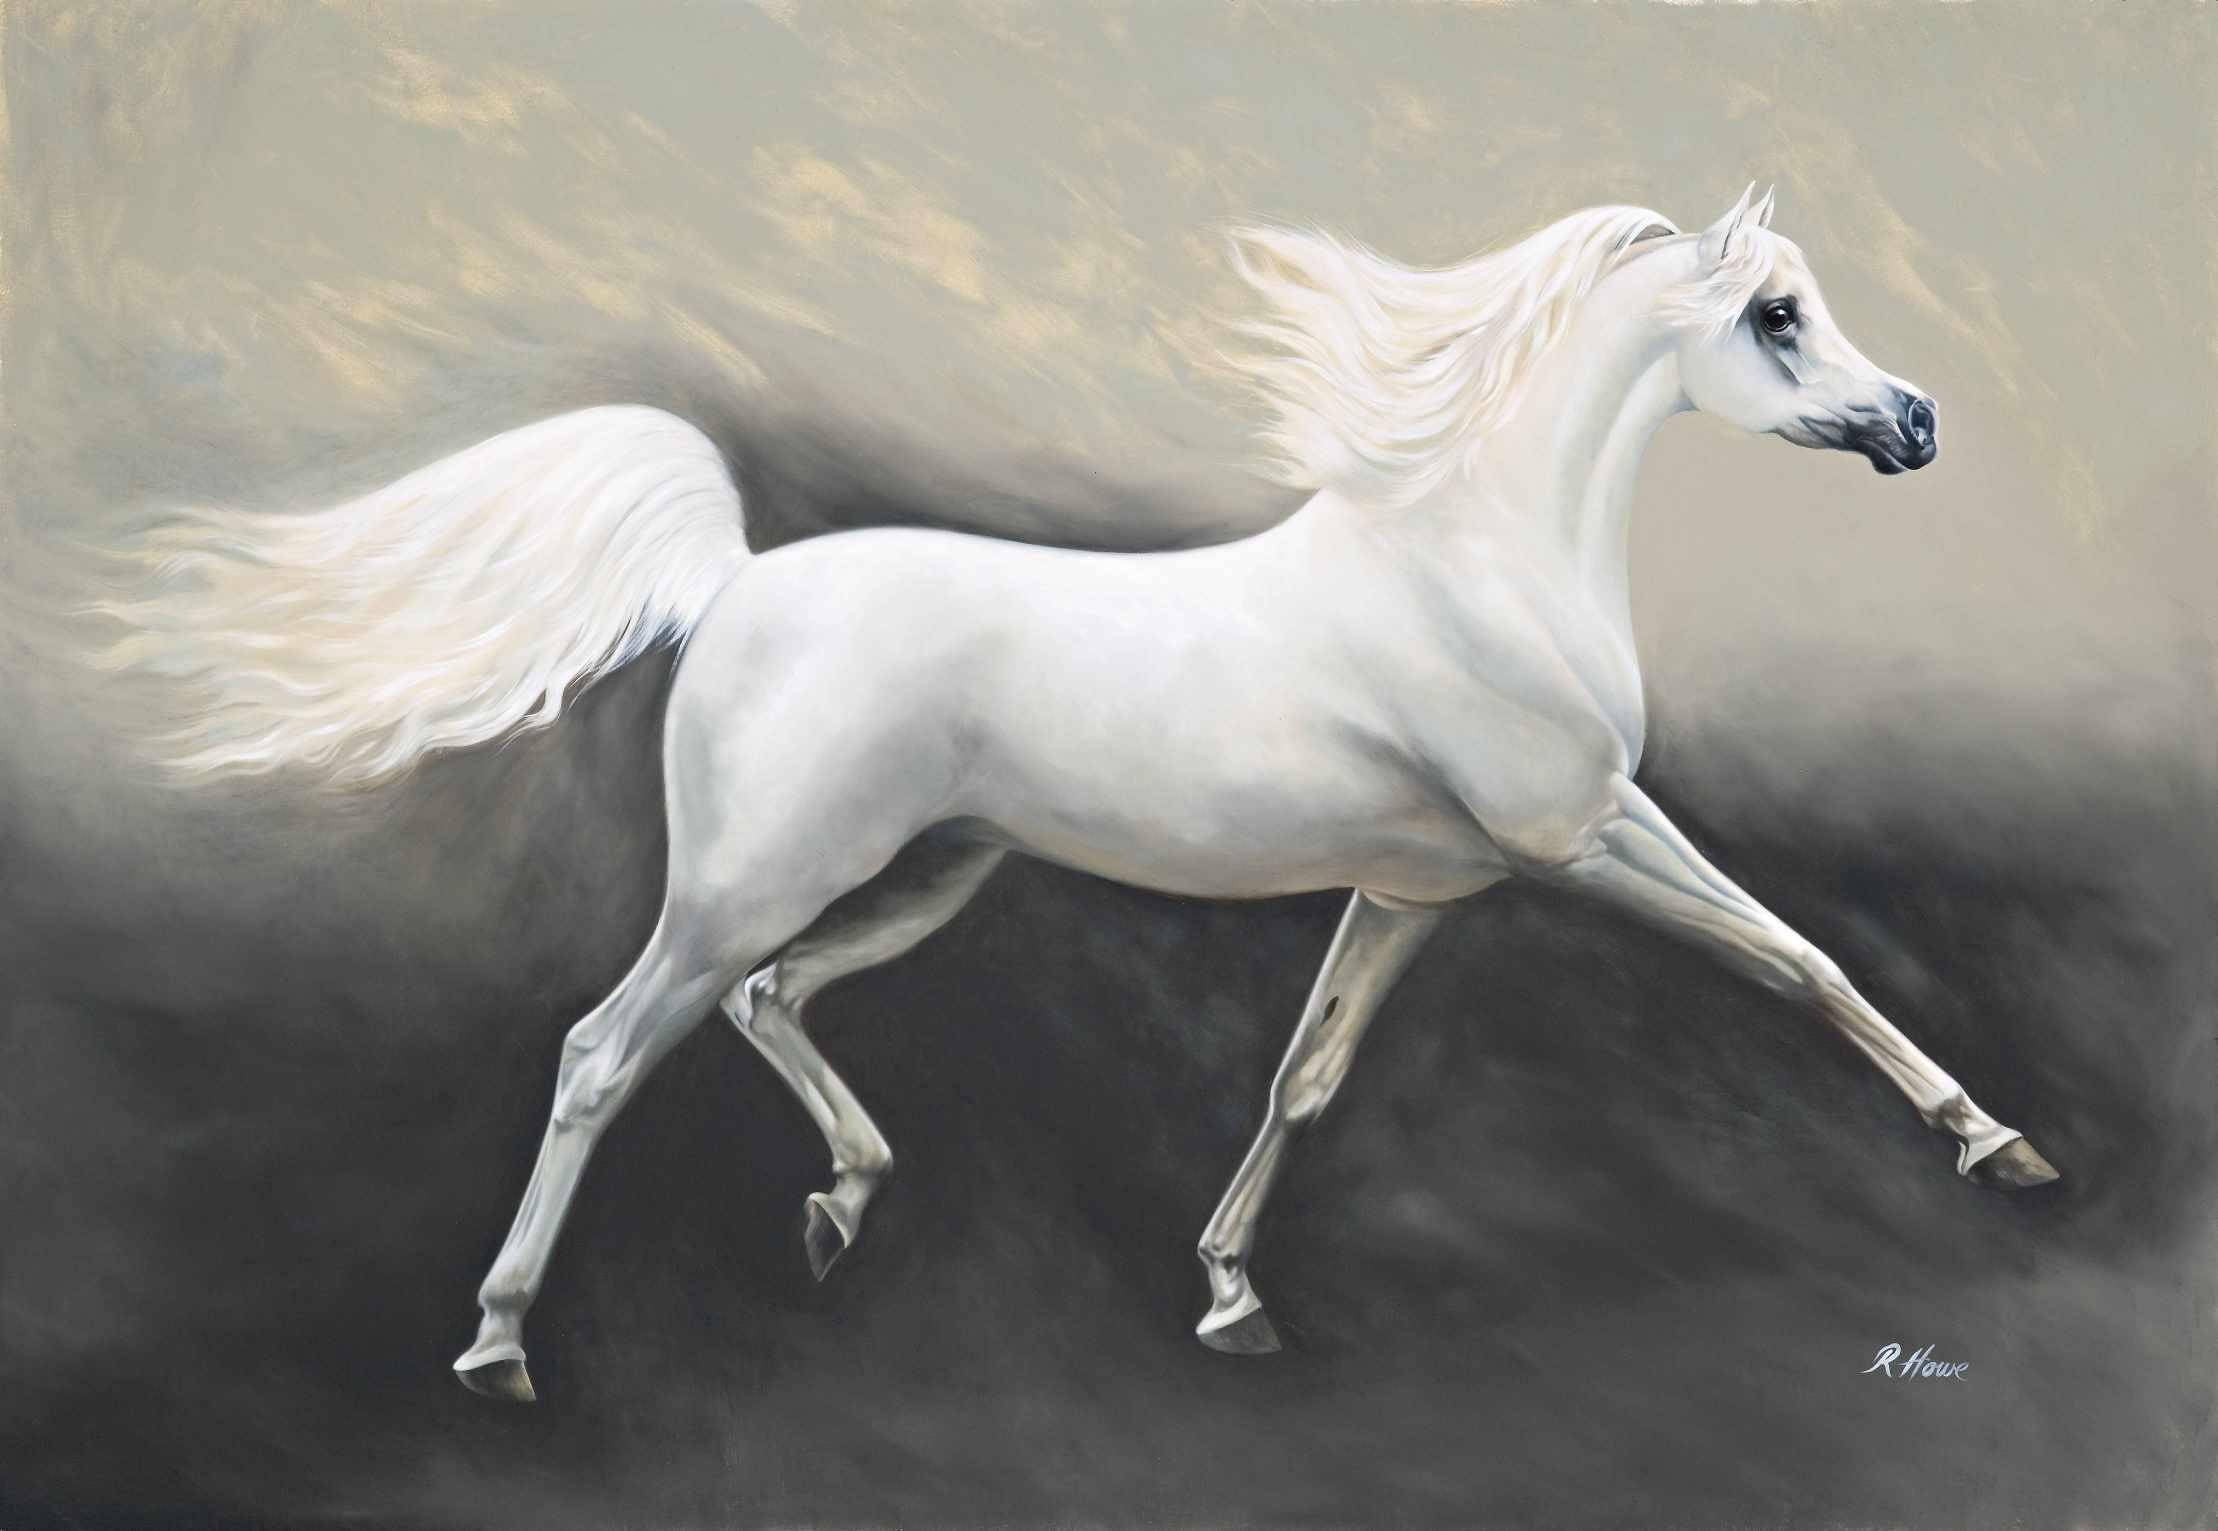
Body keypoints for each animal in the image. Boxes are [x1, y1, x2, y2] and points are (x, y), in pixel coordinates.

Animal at [91, 185, 2059, 1405]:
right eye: (1776, 313)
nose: (1916, 423)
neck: (1474, 561)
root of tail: (736, 582)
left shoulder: (1413, 891)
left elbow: (1304, 1079)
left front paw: (1230, 1295)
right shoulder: (1578, 836)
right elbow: (1798, 961)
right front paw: (1998, 1145)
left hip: (922, 875)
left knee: (765, 1001)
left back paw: (842, 1206)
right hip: (753, 876)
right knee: (604, 1044)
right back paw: (500, 1343)